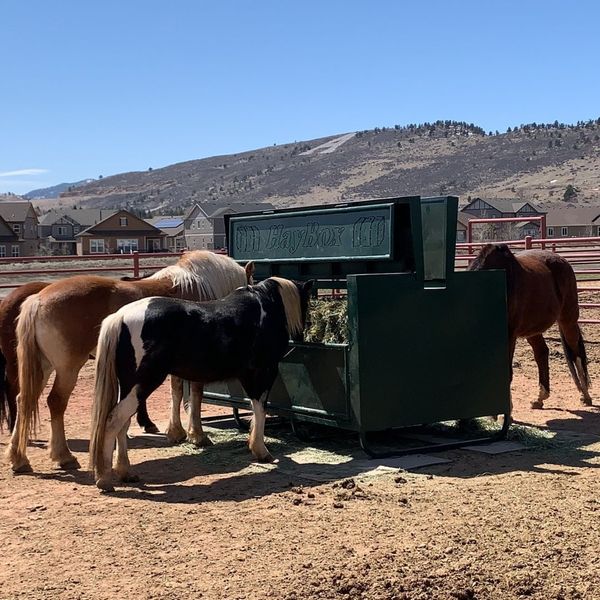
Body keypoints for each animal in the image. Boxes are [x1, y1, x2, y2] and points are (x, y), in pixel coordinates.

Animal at [7, 250, 252, 474]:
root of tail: (37, 299)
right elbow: (195, 394)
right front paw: (197, 435)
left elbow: (176, 392)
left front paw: (177, 432)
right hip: (68, 368)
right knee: (55, 402)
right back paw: (63, 456)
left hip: (43, 367)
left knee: (24, 400)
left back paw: (19, 458)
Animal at [468, 243, 592, 408]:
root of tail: (562, 260)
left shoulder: (509, 335)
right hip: (532, 329)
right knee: (542, 352)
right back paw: (540, 397)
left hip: (568, 320)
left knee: (576, 353)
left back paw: (585, 396)